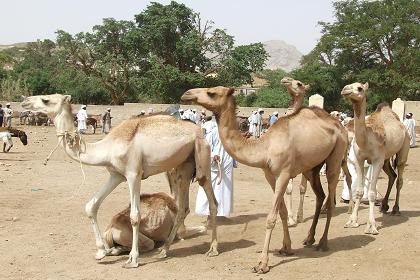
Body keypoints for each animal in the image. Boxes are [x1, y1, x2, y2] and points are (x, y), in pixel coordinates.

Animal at [180, 86, 348, 274]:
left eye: (212, 93)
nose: (186, 94)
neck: (264, 148)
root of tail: (339, 125)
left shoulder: (284, 173)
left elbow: (271, 218)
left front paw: (262, 264)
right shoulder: (269, 175)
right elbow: (282, 211)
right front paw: (286, 248)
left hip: (336, 155)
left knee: (331, 197)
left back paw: (323, 243)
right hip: (312, 168)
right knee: (320, 195)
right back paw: (309, 238)